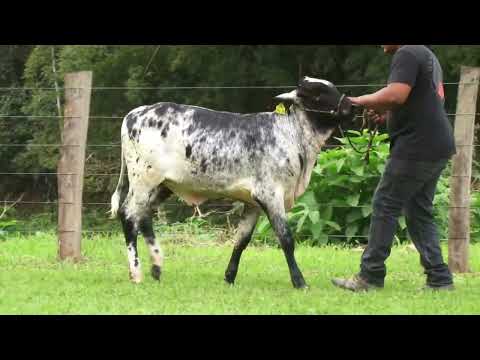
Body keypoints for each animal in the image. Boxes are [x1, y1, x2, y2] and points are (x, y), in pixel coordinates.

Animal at [110, 77, 354, 288]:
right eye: (318, 93)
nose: (351, 106)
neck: (293, 134)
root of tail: (132, 115)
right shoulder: (270, 195)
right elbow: (286, 238)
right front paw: (300, 281)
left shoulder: (253, 202)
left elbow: (241, 240)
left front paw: (229, 277)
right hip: (143, 180)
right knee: (129, 215)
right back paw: (136, 272)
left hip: (162, 185)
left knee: (143, 217)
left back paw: (157, 266)